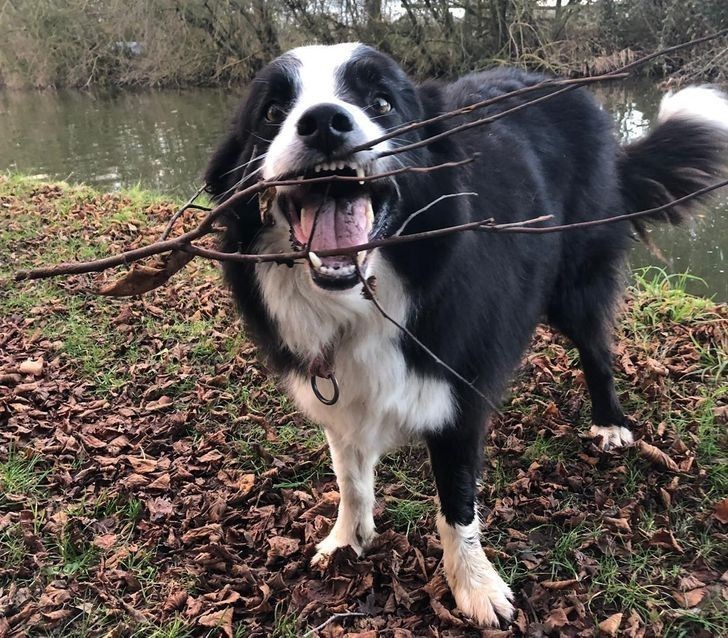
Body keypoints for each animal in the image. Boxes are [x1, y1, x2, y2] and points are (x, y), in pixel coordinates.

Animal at [206, 42, 728, 628]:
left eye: (381, 102)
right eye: (273, 112)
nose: (323, 123)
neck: (369, 300)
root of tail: (565, 86)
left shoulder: (457, 399)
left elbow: (457, 505)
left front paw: (476, 588)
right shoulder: (340, 400)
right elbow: (351, 479)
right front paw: (347, 541)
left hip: (576, 278)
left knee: (596, 348)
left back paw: (610, 423)